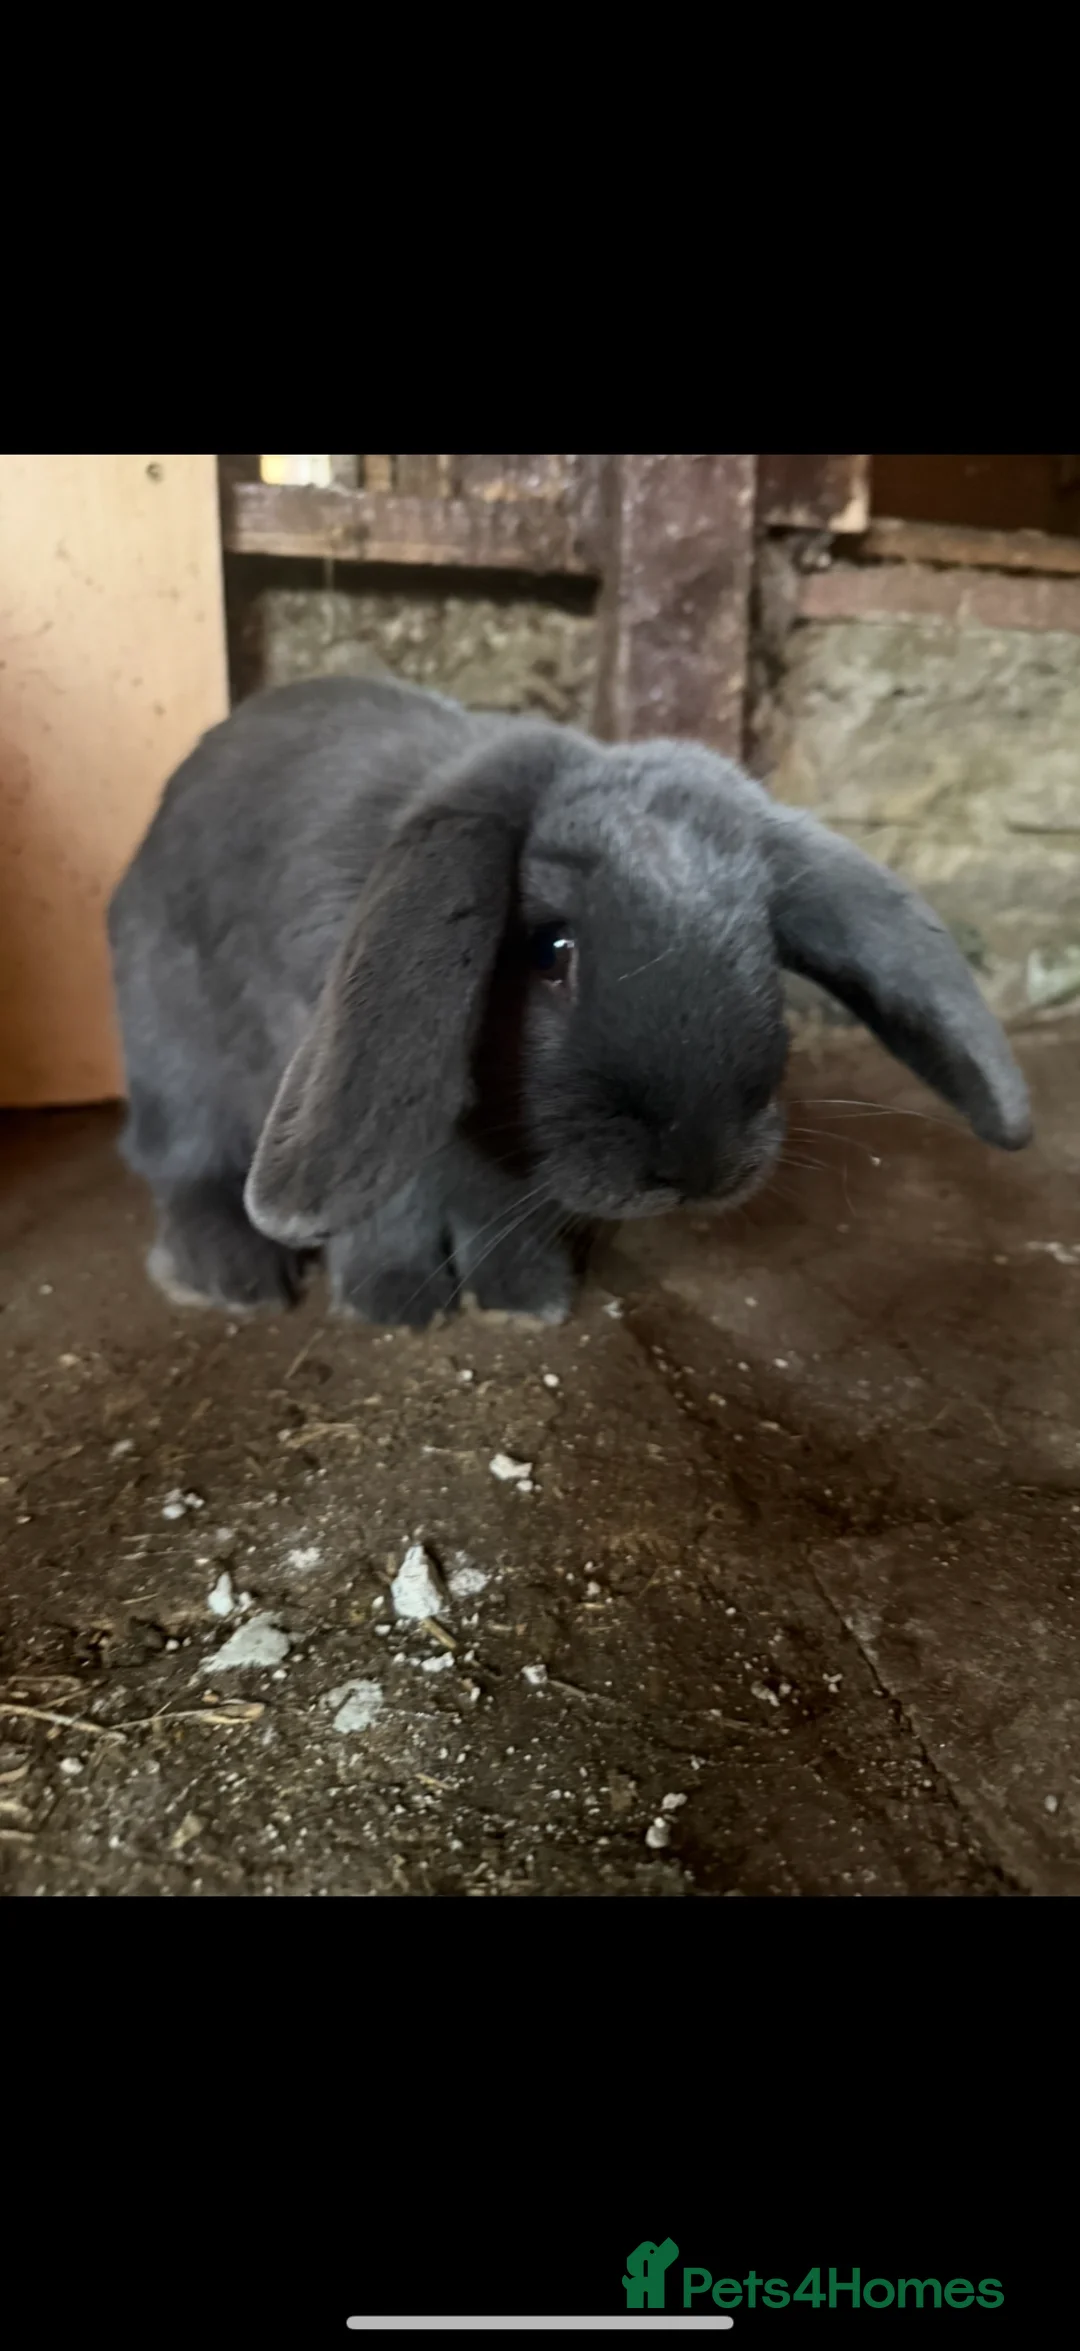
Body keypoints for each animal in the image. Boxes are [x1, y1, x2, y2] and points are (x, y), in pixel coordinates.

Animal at [107, 672, 1032, 1328]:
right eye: (551, 950)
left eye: (763, 941)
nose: (700, 1165)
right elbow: (388, 1213)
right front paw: (395, 1304)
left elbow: (498, 1221)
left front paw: (526, 1300)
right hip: (178, 1067)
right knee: (181, 1169)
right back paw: (234, 1280)